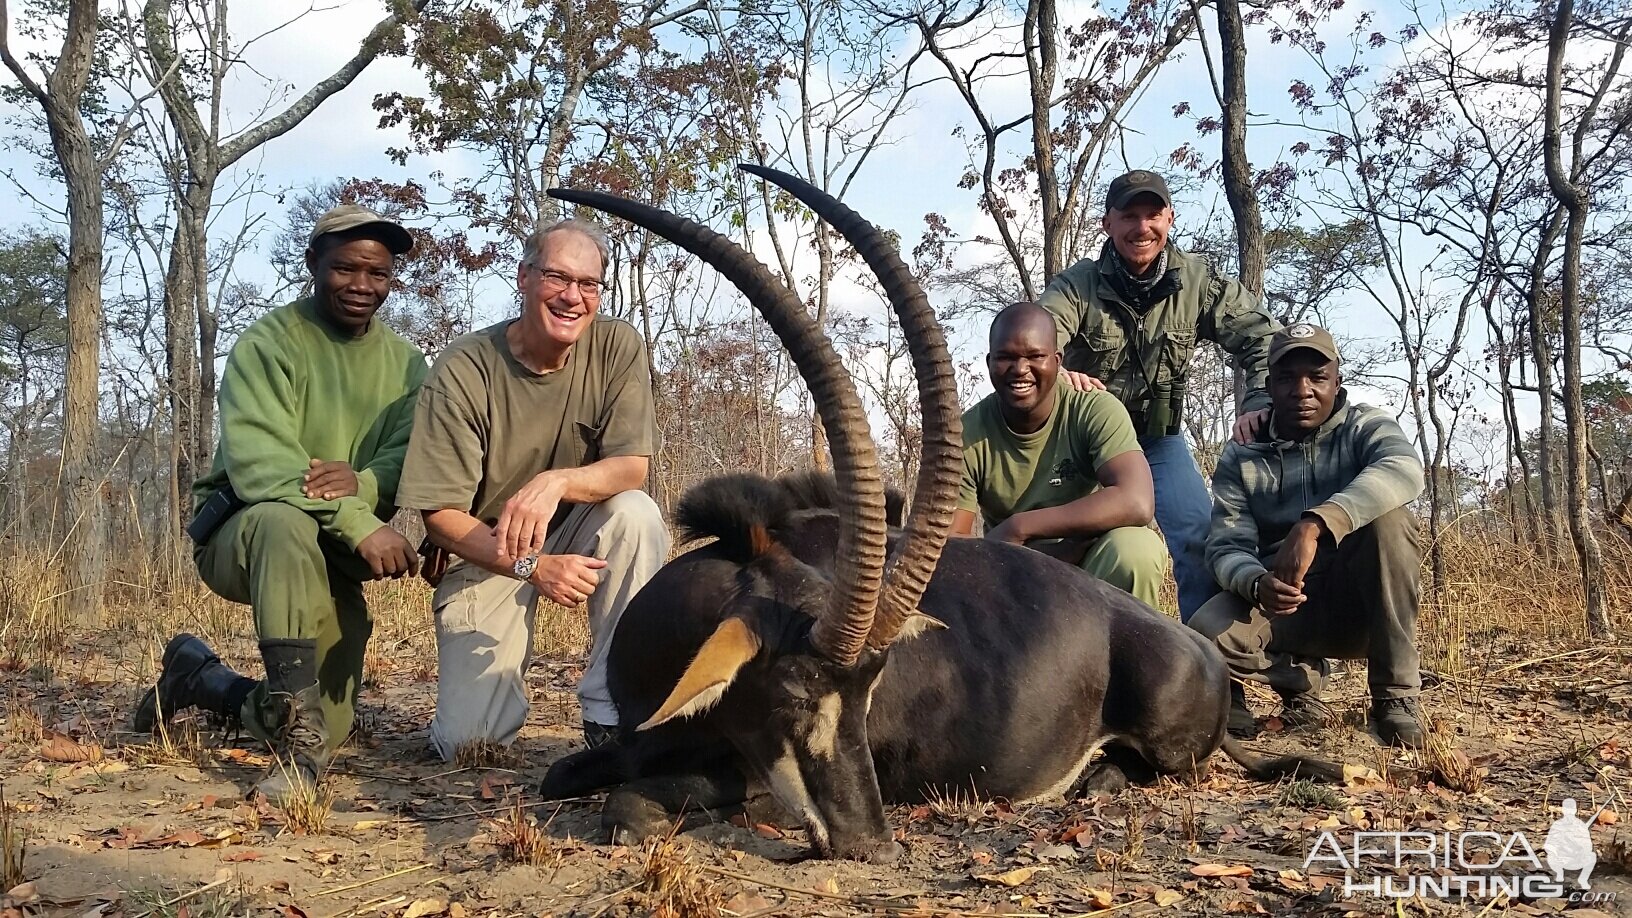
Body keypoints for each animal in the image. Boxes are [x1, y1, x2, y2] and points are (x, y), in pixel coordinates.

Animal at [541, 164, 1344, 855]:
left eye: (869, 693)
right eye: (796, 692)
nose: (867, 841)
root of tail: (1197, 652)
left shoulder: (750, 781)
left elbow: (629, 808)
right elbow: (560, 775)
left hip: (1168, 741)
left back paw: (1097, 778)